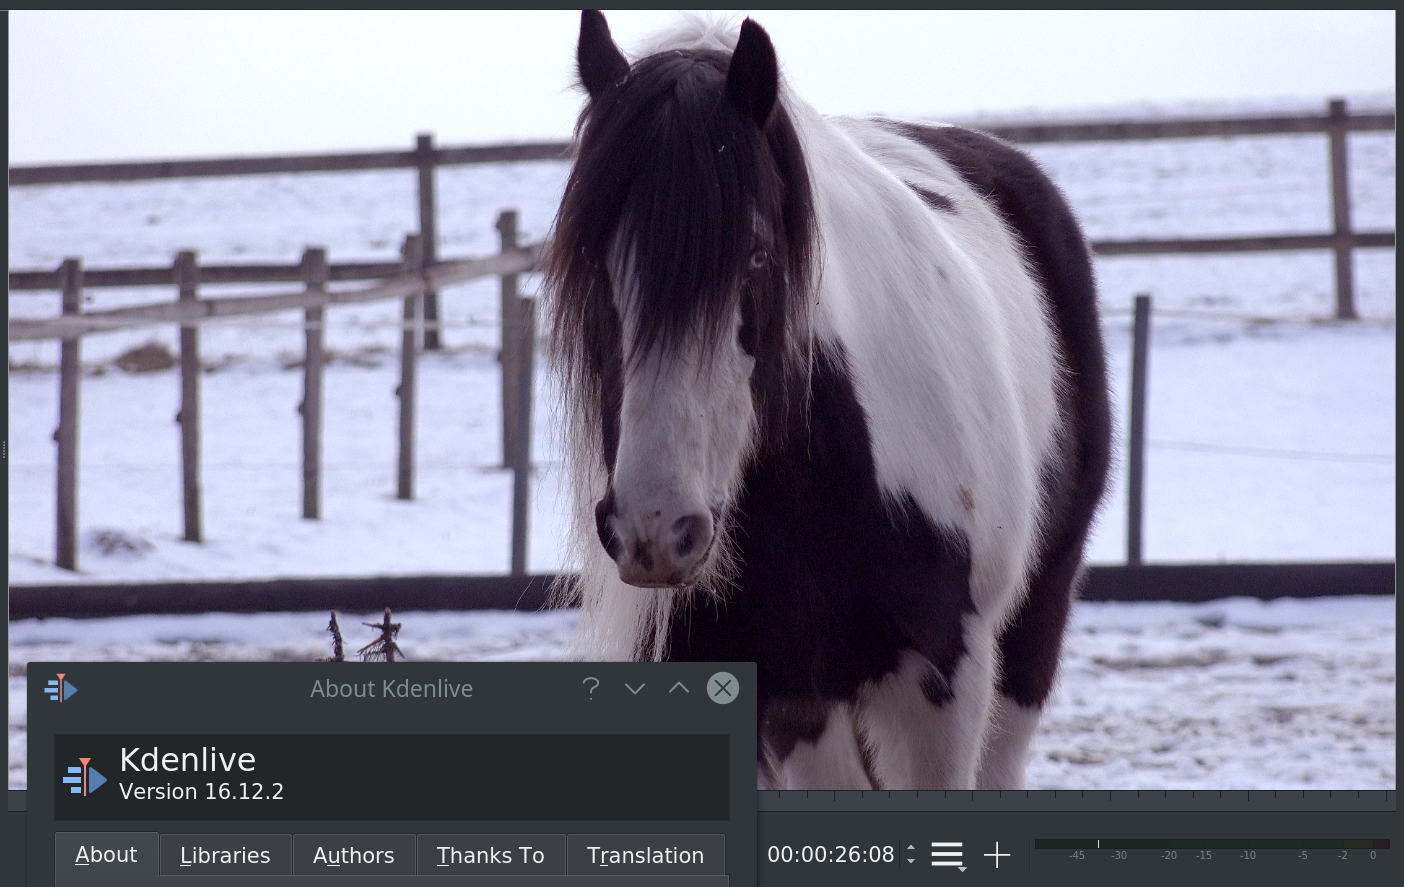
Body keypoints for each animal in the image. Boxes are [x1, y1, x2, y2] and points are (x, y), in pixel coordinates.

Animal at [545, 11, 1111, 790]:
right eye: (595, 263)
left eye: (755, 257)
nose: (655, 528)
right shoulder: (775, 694)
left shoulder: (942, 681)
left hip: (1030, 637)